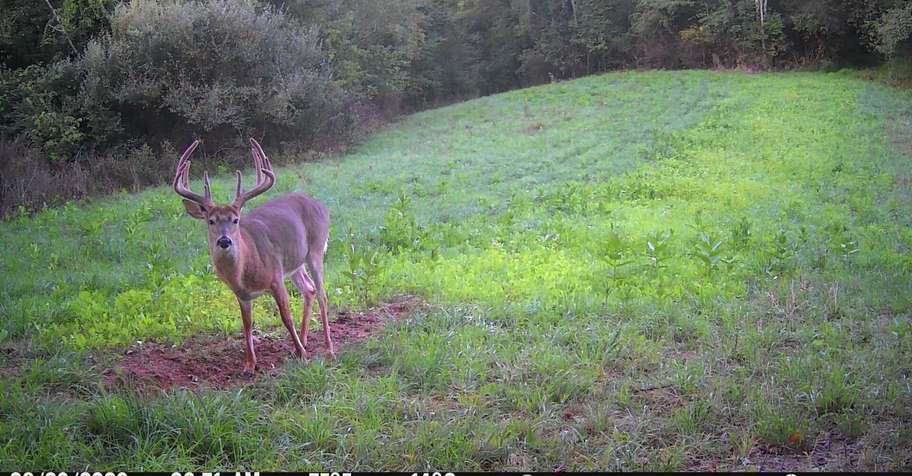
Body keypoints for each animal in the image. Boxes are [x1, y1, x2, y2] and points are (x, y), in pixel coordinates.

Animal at [173, 138, 334, 374]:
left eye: (235, 219)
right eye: (211, 221)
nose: (224, 241)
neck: (246, 269)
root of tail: (320, 205)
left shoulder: (276, 278)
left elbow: (286, 317)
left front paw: (302, 355)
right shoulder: (242, 294)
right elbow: (247, 324)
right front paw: (249, 364)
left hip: (315, 249)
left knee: (322, 293)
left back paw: (328, 348)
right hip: (294, 263)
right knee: (309, 289)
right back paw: (303, 341)